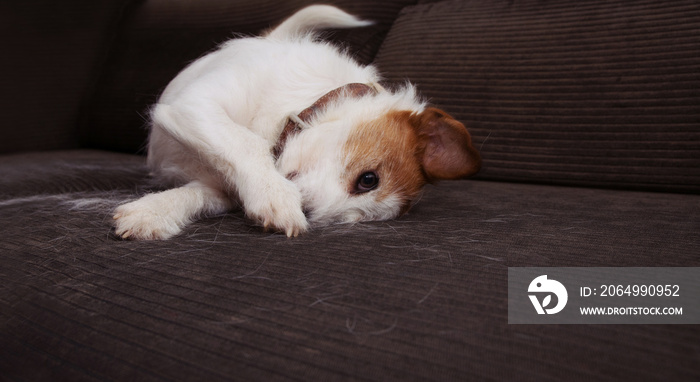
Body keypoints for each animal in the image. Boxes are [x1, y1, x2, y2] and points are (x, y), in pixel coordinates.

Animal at [112, 5, 482, 239]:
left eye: (352, 217)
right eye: (369, 180)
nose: (308, 211)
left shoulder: (223, 189)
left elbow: (197, 194)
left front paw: (152, 211)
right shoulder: (194, 105)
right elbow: (246, 143)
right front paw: (275, 194)